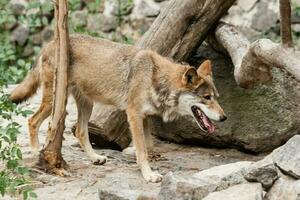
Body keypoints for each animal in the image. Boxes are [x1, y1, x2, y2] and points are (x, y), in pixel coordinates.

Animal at [9, 34, 226, 183]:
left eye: (216, 97)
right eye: (207, 98)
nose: (224, 117)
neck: (155, 78)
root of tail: (51, 42)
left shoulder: (145, 117)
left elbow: (148, 146)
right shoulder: (134, 115)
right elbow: (142, 150)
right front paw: (149, 175)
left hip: (86, 105)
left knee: (80, 132)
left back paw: (95, 158)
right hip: (55, 103)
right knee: (32, 120)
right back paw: (36, 150)